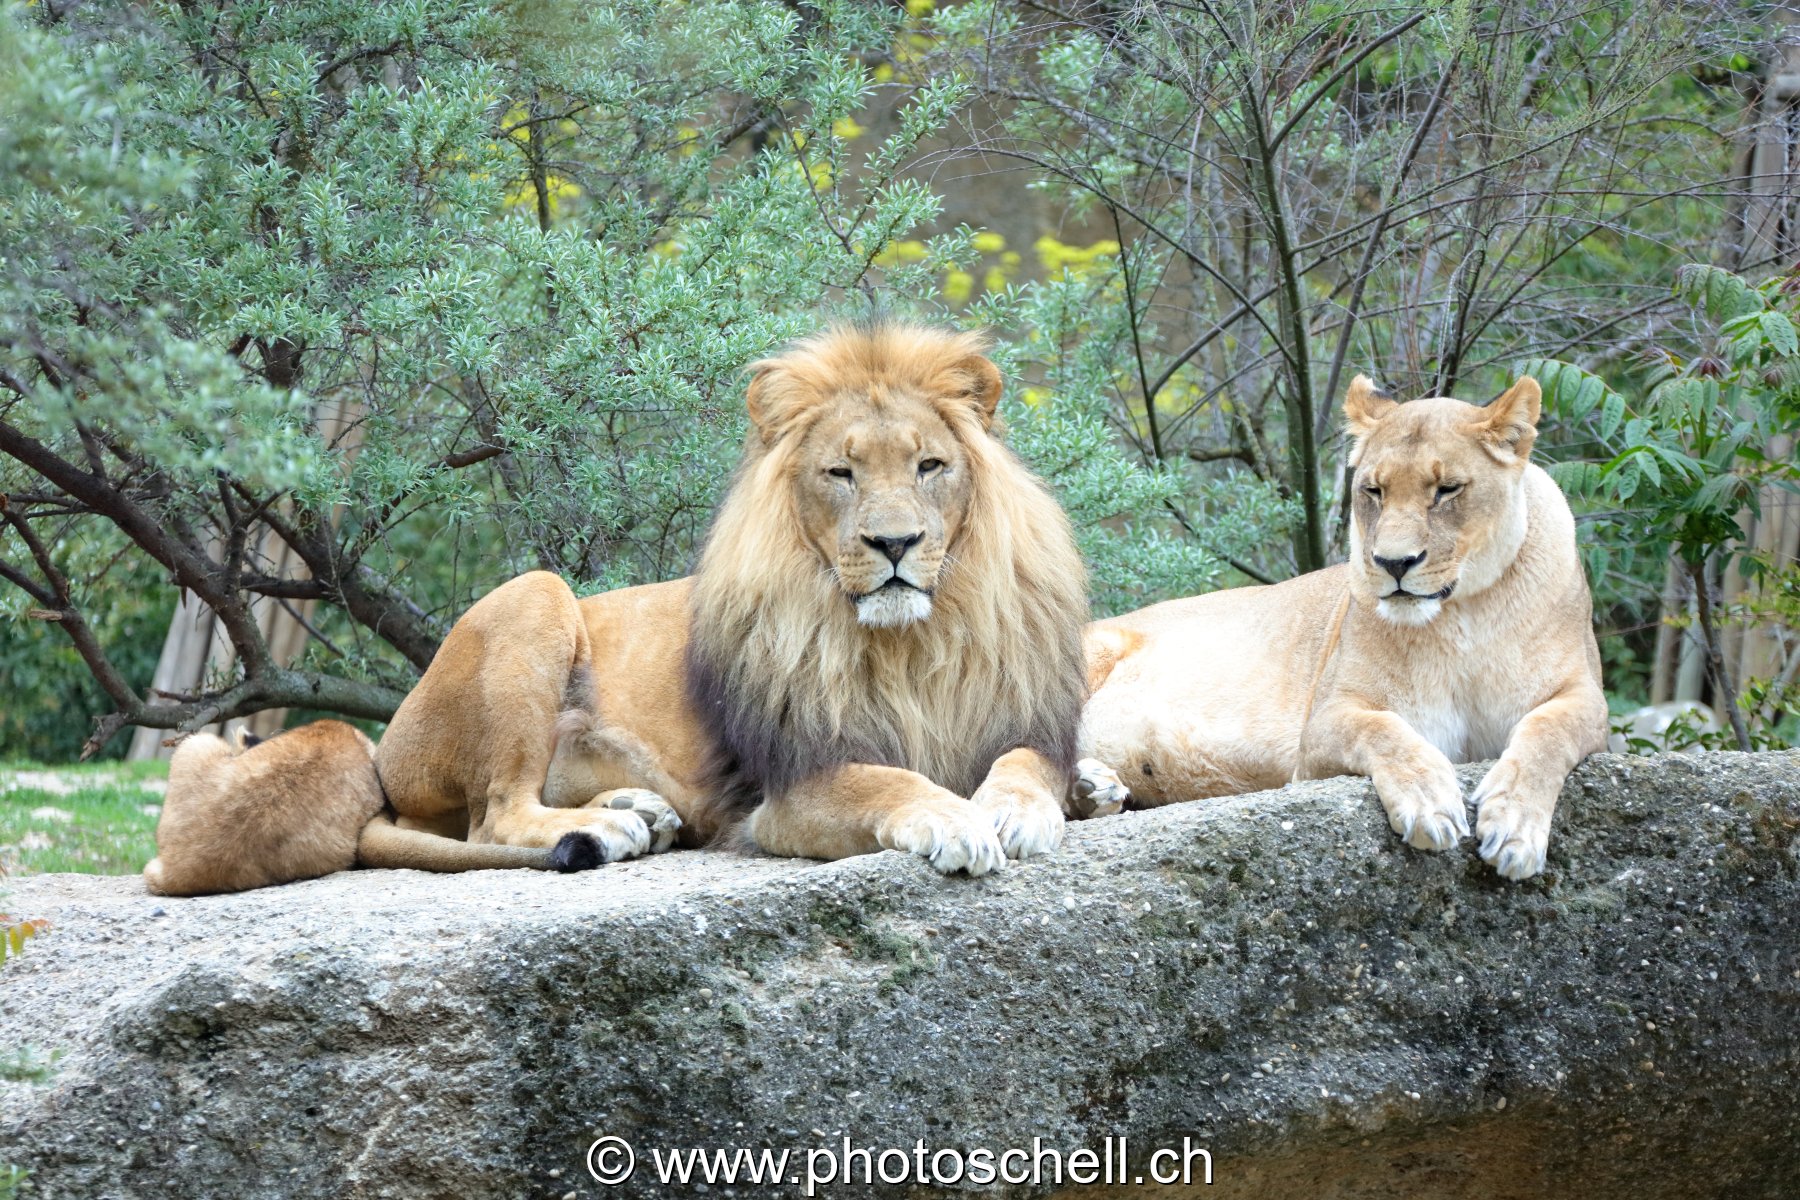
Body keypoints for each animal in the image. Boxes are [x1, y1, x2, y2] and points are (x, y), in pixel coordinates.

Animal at [150, 323, 1122, 889]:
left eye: (929, 466)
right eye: (840, 473)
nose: (894, 546)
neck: (917, 643)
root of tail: (386, 756)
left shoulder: (1011, 717)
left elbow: (1024, 762)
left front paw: (1035, 800)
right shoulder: (781, 793)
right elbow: (887, 778)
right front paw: (956, 819)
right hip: (534, 596)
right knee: (496, 814)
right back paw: (617, 824)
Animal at [1079, 374, 1608, 880]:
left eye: (1447, 490)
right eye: (1374, 490)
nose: (1394, 563)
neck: (1462, 618)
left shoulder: (1586, 698)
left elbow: (1548, 732)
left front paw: (1514, 829)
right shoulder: (1321, 728)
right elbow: (1381, 729)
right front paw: (1430, 802)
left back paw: (1096, 789)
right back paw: (1091, 786)